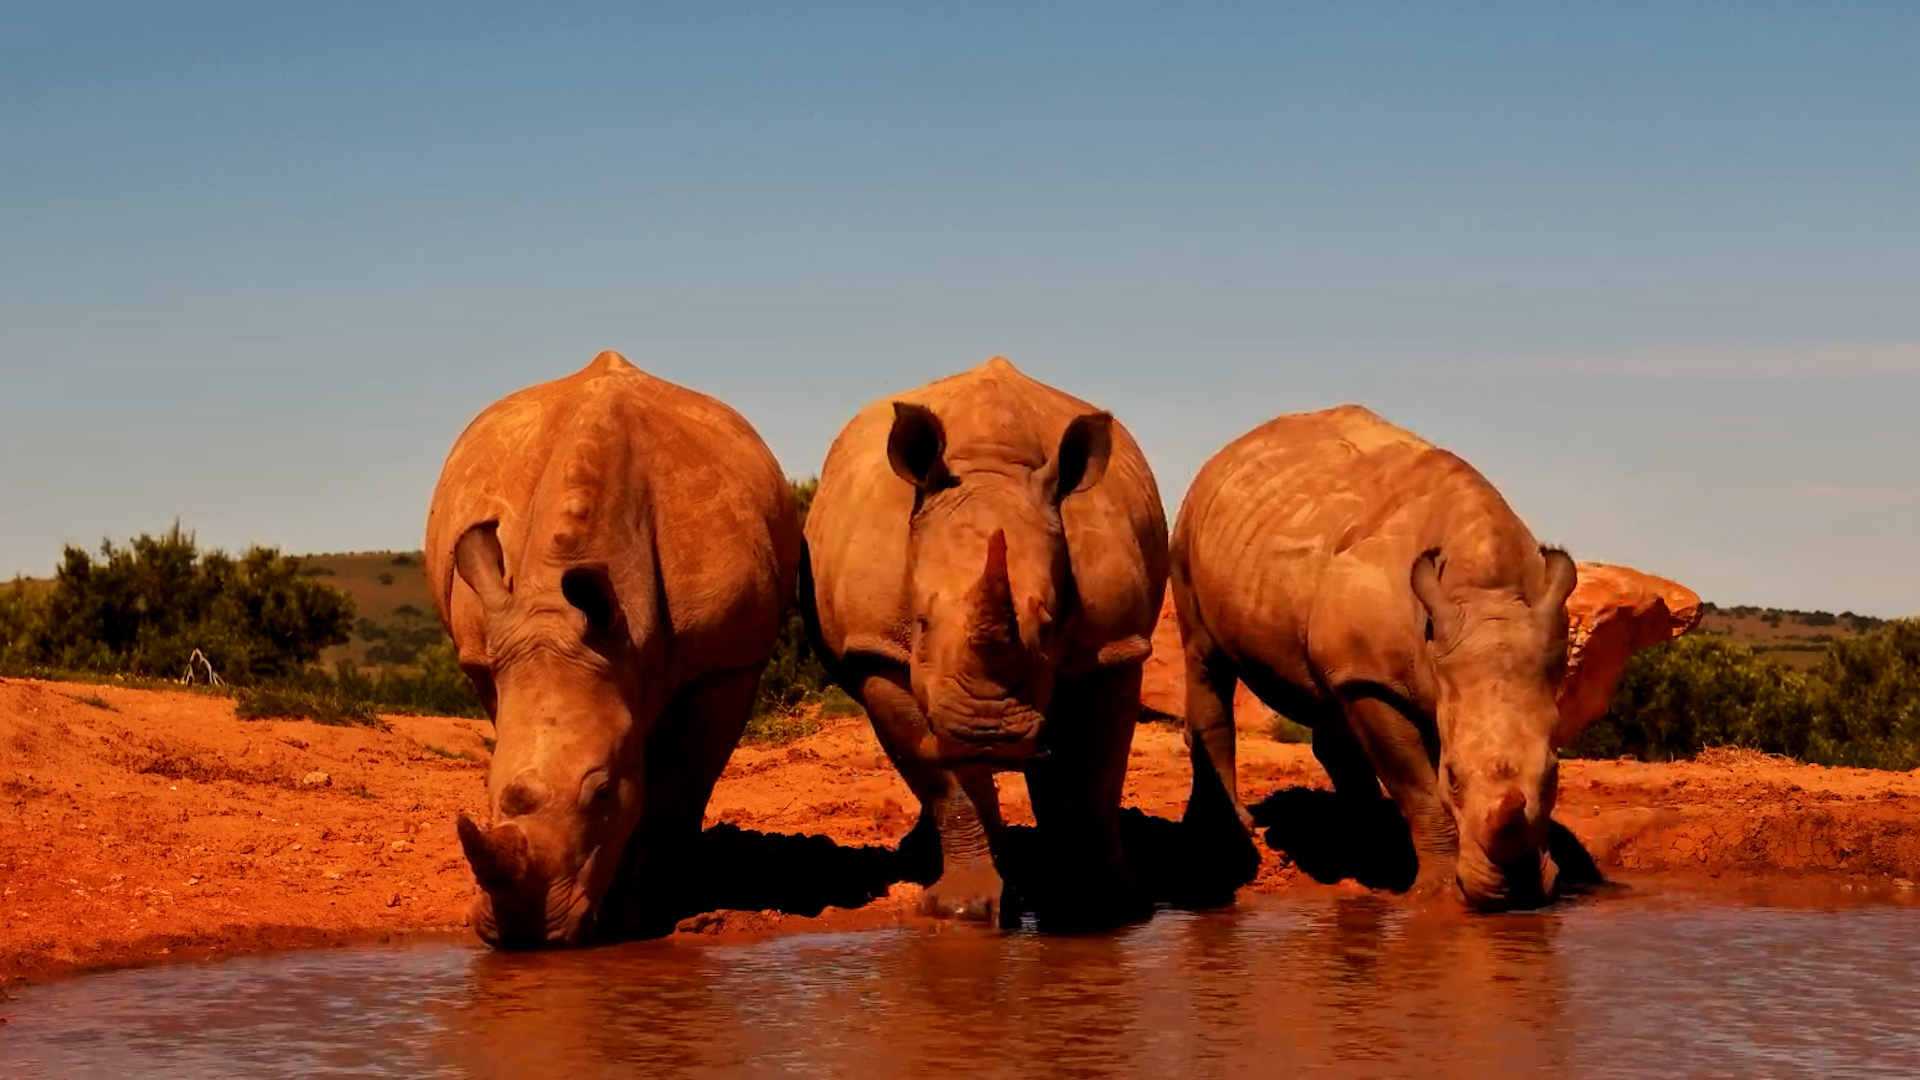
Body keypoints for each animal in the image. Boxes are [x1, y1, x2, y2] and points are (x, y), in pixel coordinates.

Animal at [424, 351, 800, 947]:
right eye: (484, 786)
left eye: (601, 793)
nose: (523, 935)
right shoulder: (491, 656)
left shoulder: (728, 661)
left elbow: (676, 786)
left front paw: (647, 912)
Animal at [802, 357, 1168, 926]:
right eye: (921, 622)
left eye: (1049, 626)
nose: (987, 732)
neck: (990, 466)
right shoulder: (877, 648)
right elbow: (945, 780)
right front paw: (965, 910)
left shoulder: (1115, 646)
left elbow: (1088, 779)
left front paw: (1104, 908)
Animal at [1170, 405, 1577, 910]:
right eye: (1453, 778)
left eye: (1555, 772)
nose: (1516, 890)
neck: (1485, 592)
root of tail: (1228, 452)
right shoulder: (1373, 679)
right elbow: (1418, 787)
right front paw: (1439, 892)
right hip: (1188, 529)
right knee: (1205, 658)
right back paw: (1237, 831)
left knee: (1329, 703)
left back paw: (1369, 855)